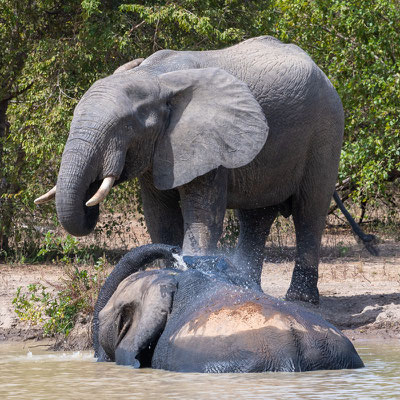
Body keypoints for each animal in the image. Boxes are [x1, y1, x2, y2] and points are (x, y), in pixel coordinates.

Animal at [36, 35, 346, 304]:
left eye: (125, 127)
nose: (91, 196)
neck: (155, 77)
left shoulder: (210, 141)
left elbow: (202, 218)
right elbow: (160, 218)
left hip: (326, 131)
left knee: (309, 211)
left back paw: (300, 298)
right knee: (256, 217)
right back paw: (251, 289)